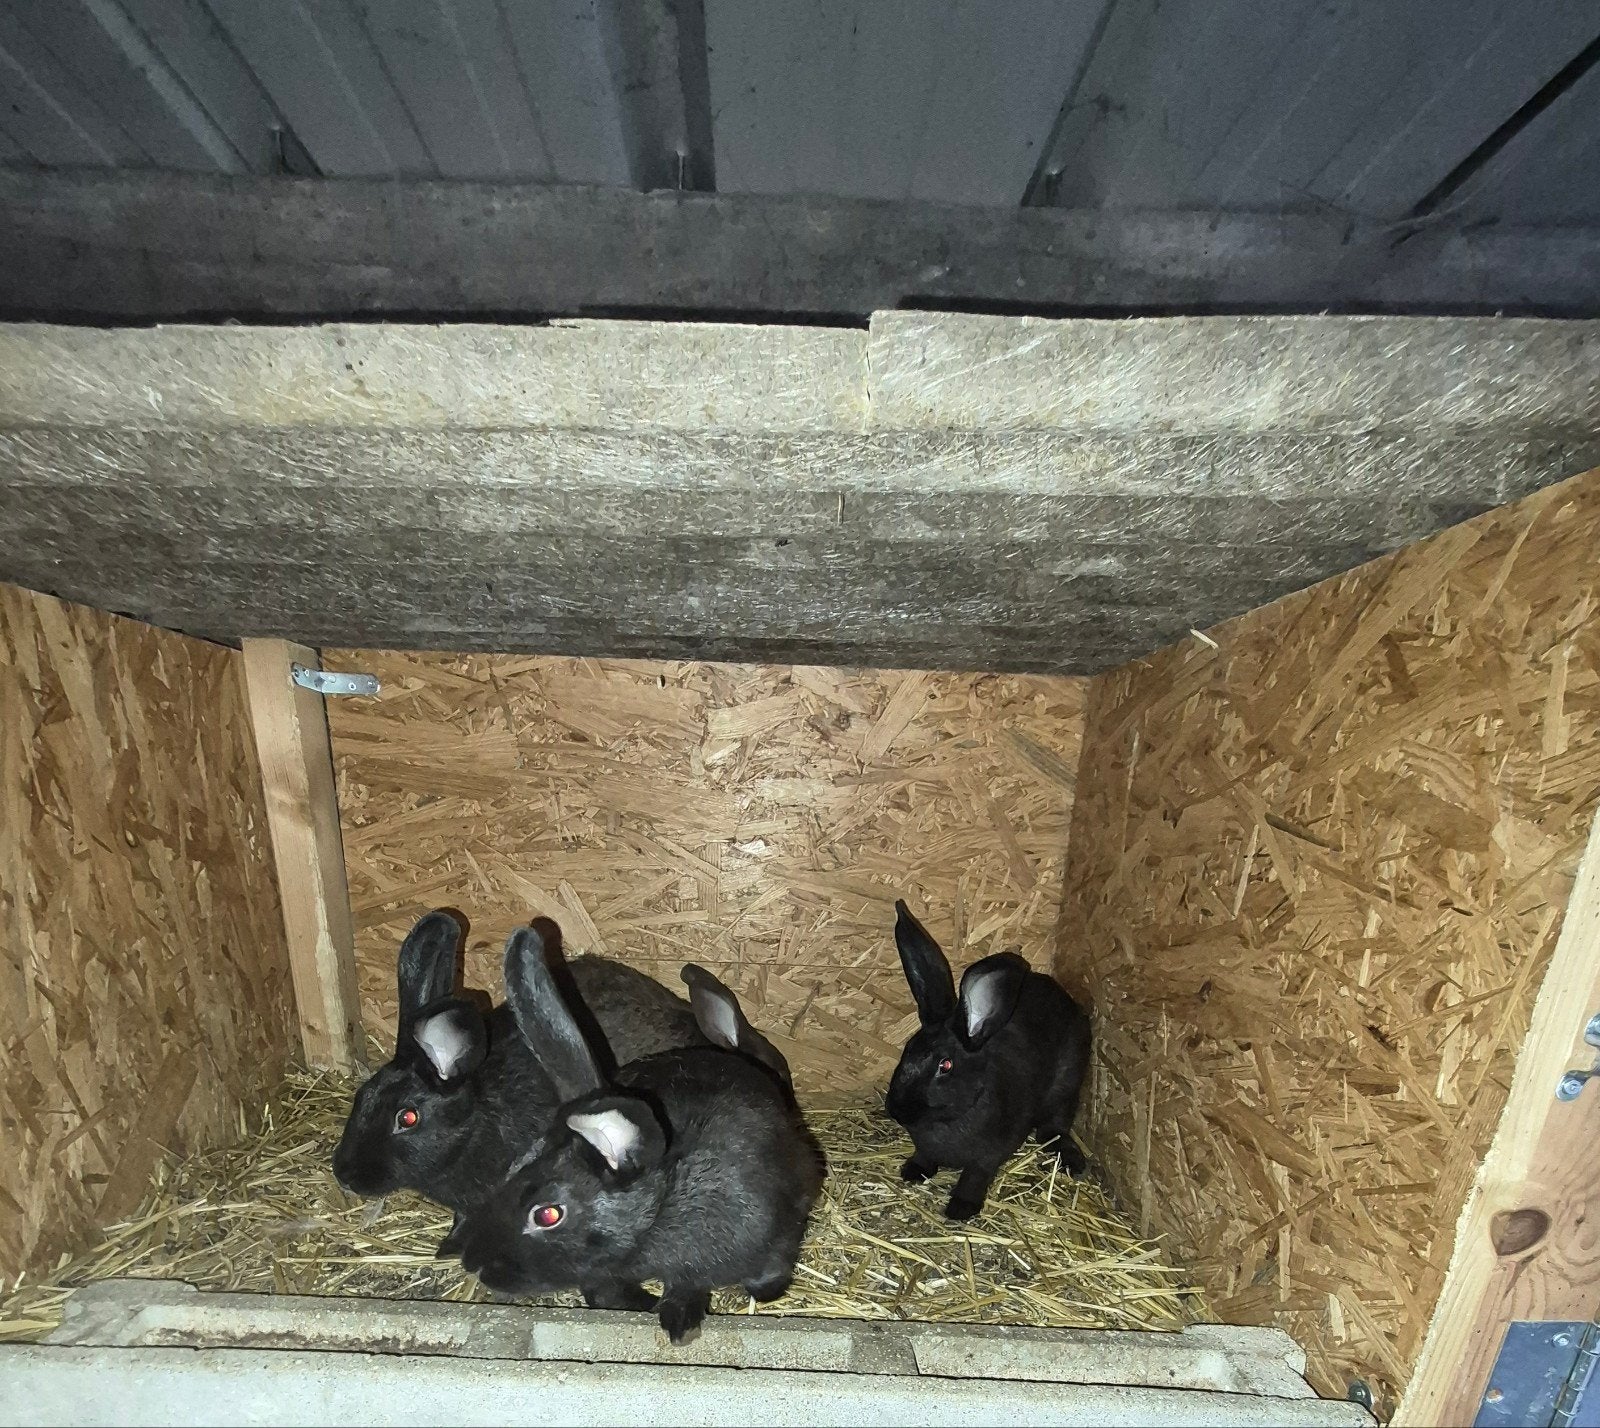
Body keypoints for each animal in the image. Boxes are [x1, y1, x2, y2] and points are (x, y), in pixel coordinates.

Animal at [454, 923, 824, 1344]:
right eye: (511, 1169)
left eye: (547, 1215)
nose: (473, 1262)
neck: (663, 1205)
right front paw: (660, 1311)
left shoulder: (776, 1232)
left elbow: (758, 1277)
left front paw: (680, 1322)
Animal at [885, 898, 1091, 1222]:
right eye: (907, 1051)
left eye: (945, 1065)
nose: (897, 1110)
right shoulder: (926, 1147)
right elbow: (925, 1155)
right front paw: (914, 1171)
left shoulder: (990, 1154)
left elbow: (975, 1176)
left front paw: (960, 1209)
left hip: (1067, 1083)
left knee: (1054, 1125)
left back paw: (1071, 1158)